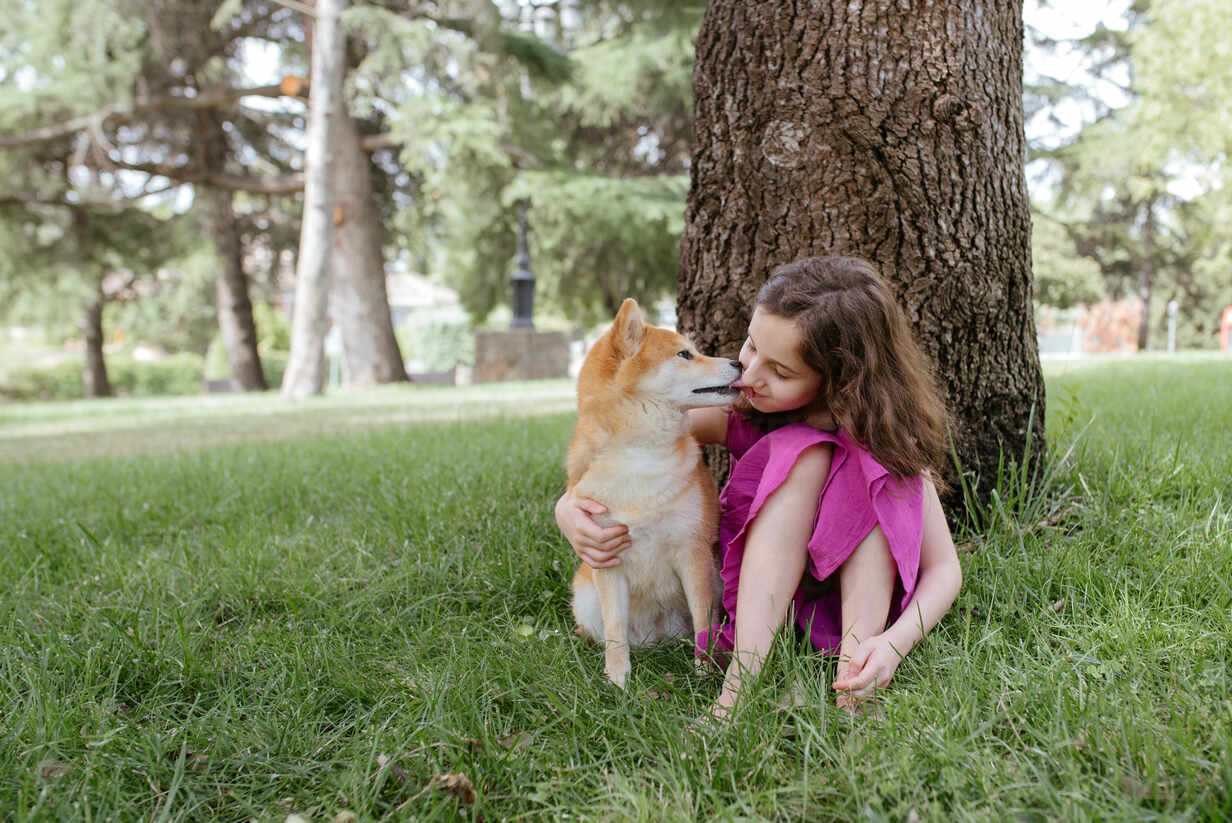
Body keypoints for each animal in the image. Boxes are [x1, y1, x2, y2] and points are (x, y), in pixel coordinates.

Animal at [566, 299, 739, 685]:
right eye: (684, 354)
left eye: (693, 350)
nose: (738, 362)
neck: (639, 455)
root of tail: (655, 635)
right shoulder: (608, 559)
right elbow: (615, 628)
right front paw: (618, 680)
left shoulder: (693, 552)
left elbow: (703, 620)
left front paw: (703, 674)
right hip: (585, 593)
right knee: (600, 631)